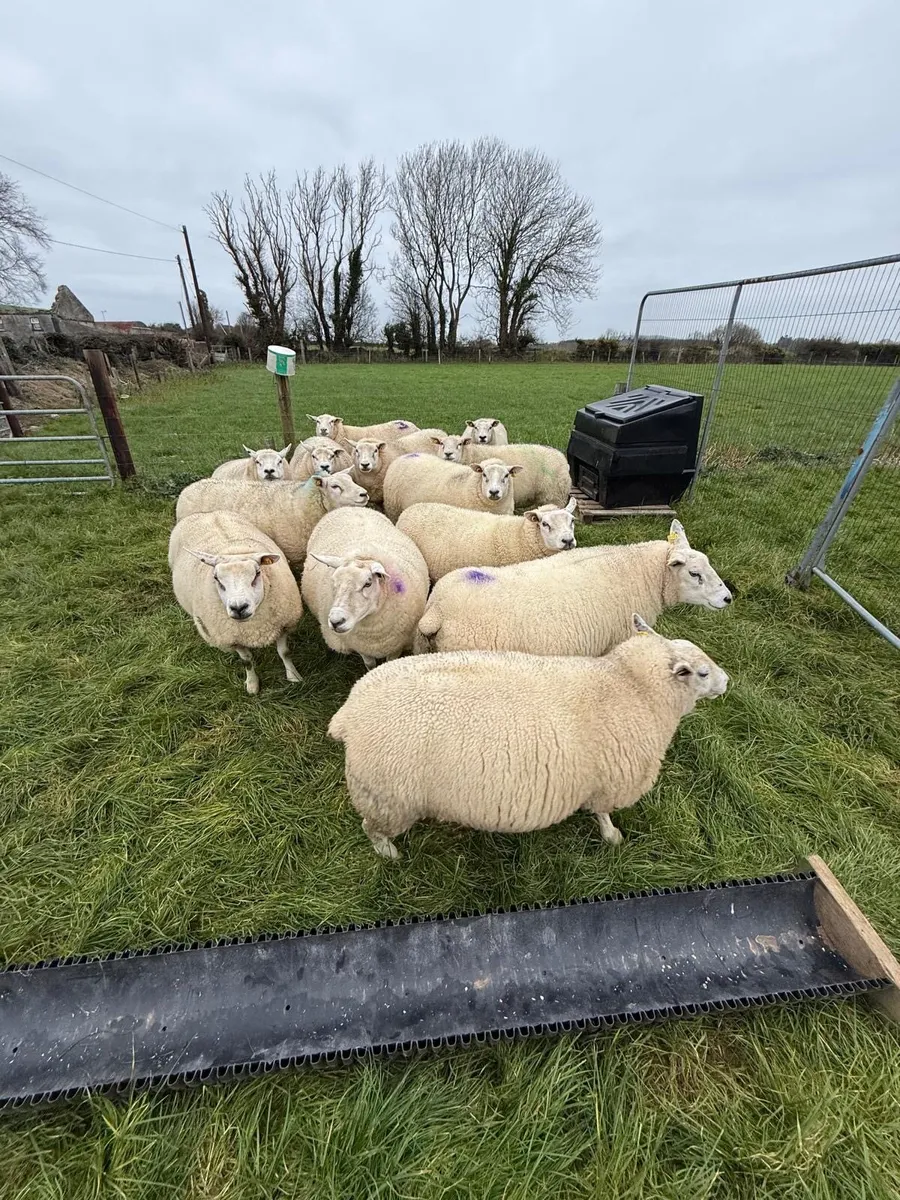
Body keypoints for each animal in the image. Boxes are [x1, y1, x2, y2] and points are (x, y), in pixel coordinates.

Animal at [168, 510, 303, 695]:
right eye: (216, 578)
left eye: (257, 573)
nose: (239, 608)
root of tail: (207, 513)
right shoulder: (232, 639)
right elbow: (246, 660)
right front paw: (252, 684)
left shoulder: (283, 624)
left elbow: (284, 652)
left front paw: (293, 676)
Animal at [302, 508, 430, 669]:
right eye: (334, 581)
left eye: (368, 583)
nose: (336, 621)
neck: (373, 635)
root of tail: (348, 507)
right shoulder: (360, 646)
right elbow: (369, 664)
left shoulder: (397, 645)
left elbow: (390, 661)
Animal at [328, 613, 729, 858]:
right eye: (702, 673)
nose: (728, 682)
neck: (629, 685)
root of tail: (349, 712)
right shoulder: (607, 782)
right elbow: (602, 814)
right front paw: (612, 837)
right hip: (387, 798)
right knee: (371, 828)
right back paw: (390, 854)